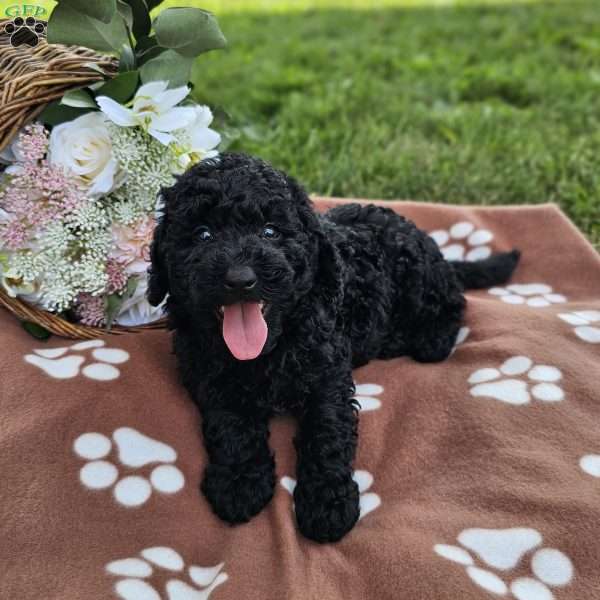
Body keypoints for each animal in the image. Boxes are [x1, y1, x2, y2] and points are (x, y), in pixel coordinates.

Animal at [148, 154, 516, 544]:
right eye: (202, 234)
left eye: (270, 231)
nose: (240, 279)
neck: (269, 347)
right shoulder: (210, 377)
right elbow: (232, 425)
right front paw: (239, 482)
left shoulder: (328, 376)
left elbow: (326, 433)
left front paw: (327, 503)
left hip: (419, 277)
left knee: (453, 302)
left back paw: (431, 338)